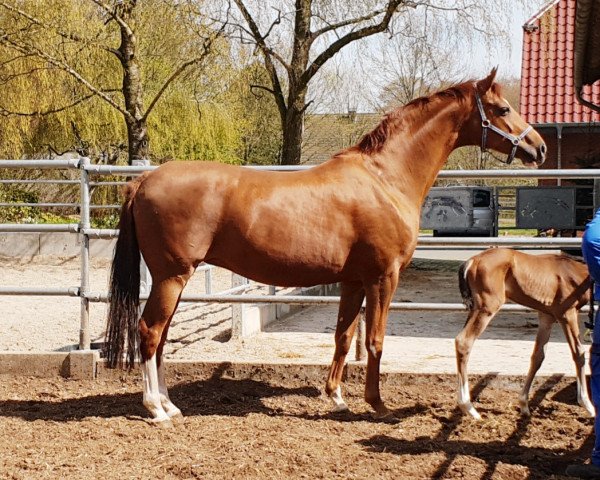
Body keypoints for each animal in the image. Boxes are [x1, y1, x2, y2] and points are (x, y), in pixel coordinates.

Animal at [458, 249, 592, 418]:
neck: (575, 270)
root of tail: (472, 260)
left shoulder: (546, 317)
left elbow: (538, 357)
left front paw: (524, 405)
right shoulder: (567, 314)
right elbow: (578, 353)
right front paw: (588, 406)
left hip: (475, 309)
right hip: (487, 307)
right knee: (463, 341)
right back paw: (469, 408)